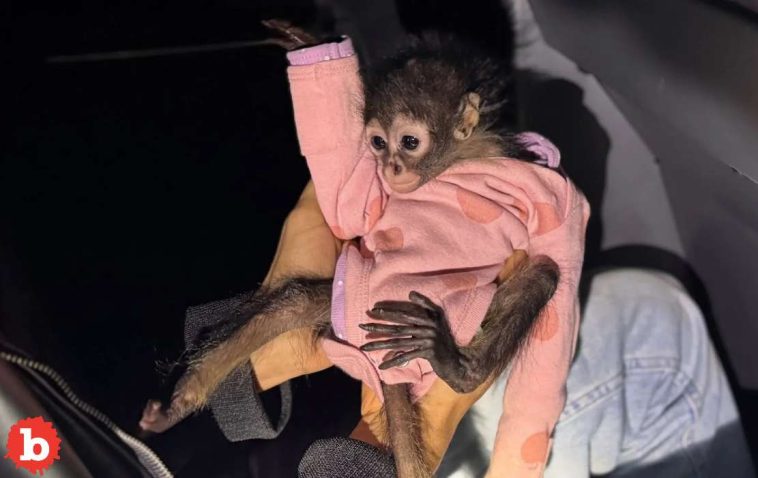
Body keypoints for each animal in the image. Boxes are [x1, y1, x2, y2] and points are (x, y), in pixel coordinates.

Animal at [140, 23, 585, 478]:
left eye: (409, 142)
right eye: (377, 143)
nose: (391, 167)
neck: (457, 161)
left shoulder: (549, 191)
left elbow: (562, 254)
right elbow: (348, 212)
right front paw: (308, 45)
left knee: (547, 274)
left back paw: (459, 368)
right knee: (292, 301)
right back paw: (178, 404)